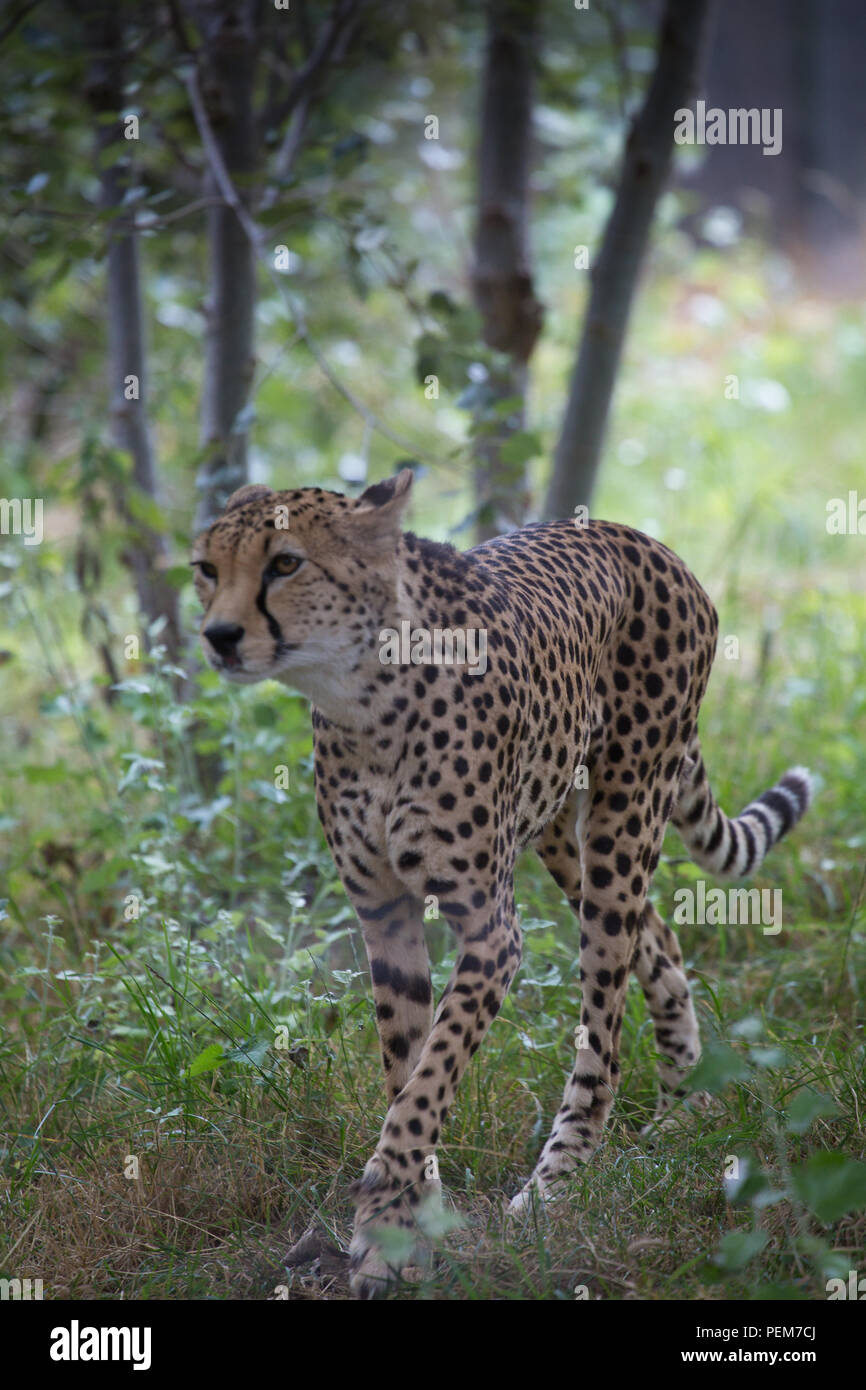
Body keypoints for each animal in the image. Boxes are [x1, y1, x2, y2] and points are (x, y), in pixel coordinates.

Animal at [191, 468, 812, 1297]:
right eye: (206, 569)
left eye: (286, 564)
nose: (220, 636)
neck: (360, 699)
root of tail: (639, 538)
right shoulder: (383, 914)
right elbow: (407, 1068)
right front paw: (407, 1224)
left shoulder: (491, 931)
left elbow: (430, 1077)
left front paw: (386, 1210)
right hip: (560, 831)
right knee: (656, 936)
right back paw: (689, 1100)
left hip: (623, 815)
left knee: (605, 1026)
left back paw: (556, 1184)